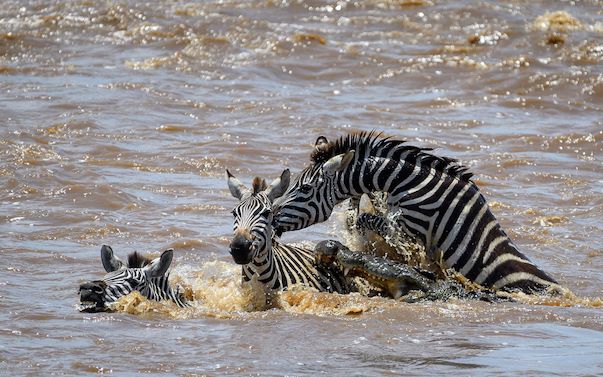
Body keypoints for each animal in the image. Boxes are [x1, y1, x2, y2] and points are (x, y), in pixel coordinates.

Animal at [272, 132, 560, 294]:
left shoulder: (411, 227)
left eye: (305, 189)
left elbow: (365, 219)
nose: (272, 220)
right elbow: (359, 217)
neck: (406, 182)